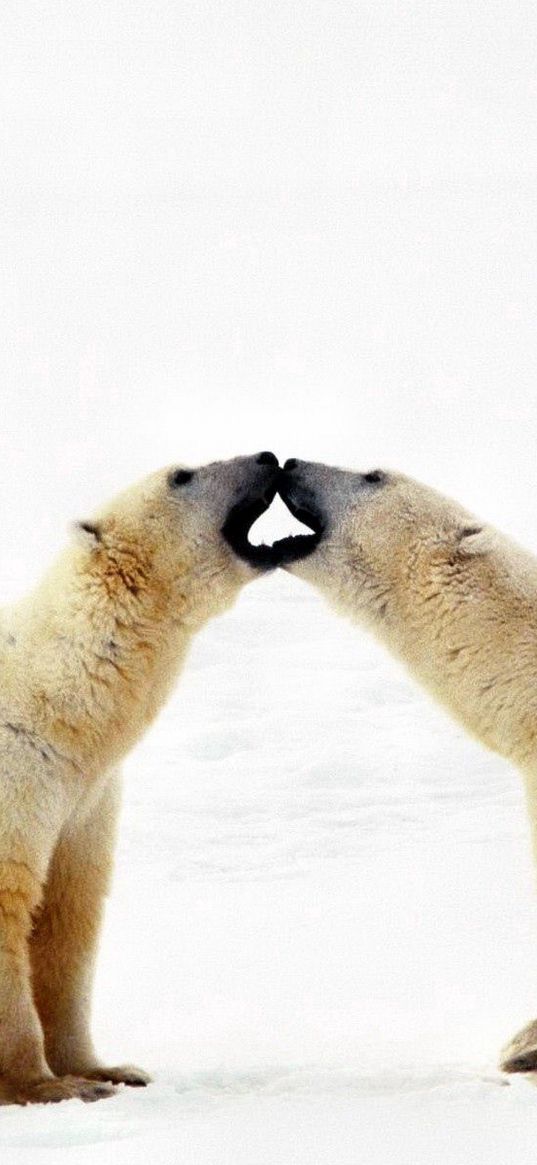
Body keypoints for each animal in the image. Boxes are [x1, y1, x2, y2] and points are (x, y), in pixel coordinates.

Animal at [0, 447, 280, 1099]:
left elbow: (70, 913)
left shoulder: (84, 796)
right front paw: (49, 1086)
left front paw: (107, 1069)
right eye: (182, 475)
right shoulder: (19, 775)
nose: (267, 456)